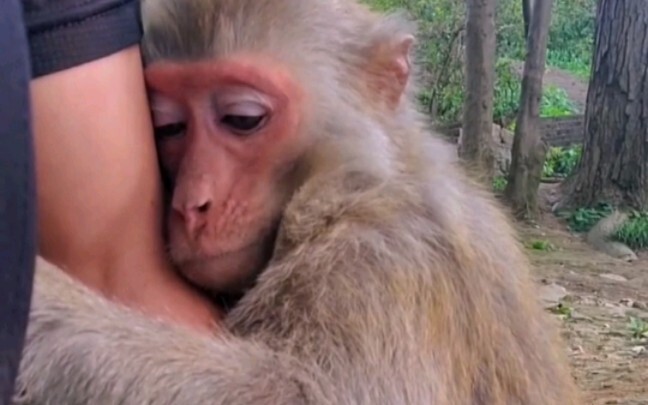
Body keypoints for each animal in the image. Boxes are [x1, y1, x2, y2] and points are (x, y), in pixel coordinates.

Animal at [13, 0, 582, 403]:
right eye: (168, 126)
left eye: (242, 119)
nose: (192, 203)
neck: (357, 183)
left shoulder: (385, 262)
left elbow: (299, 394)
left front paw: (42, 299)